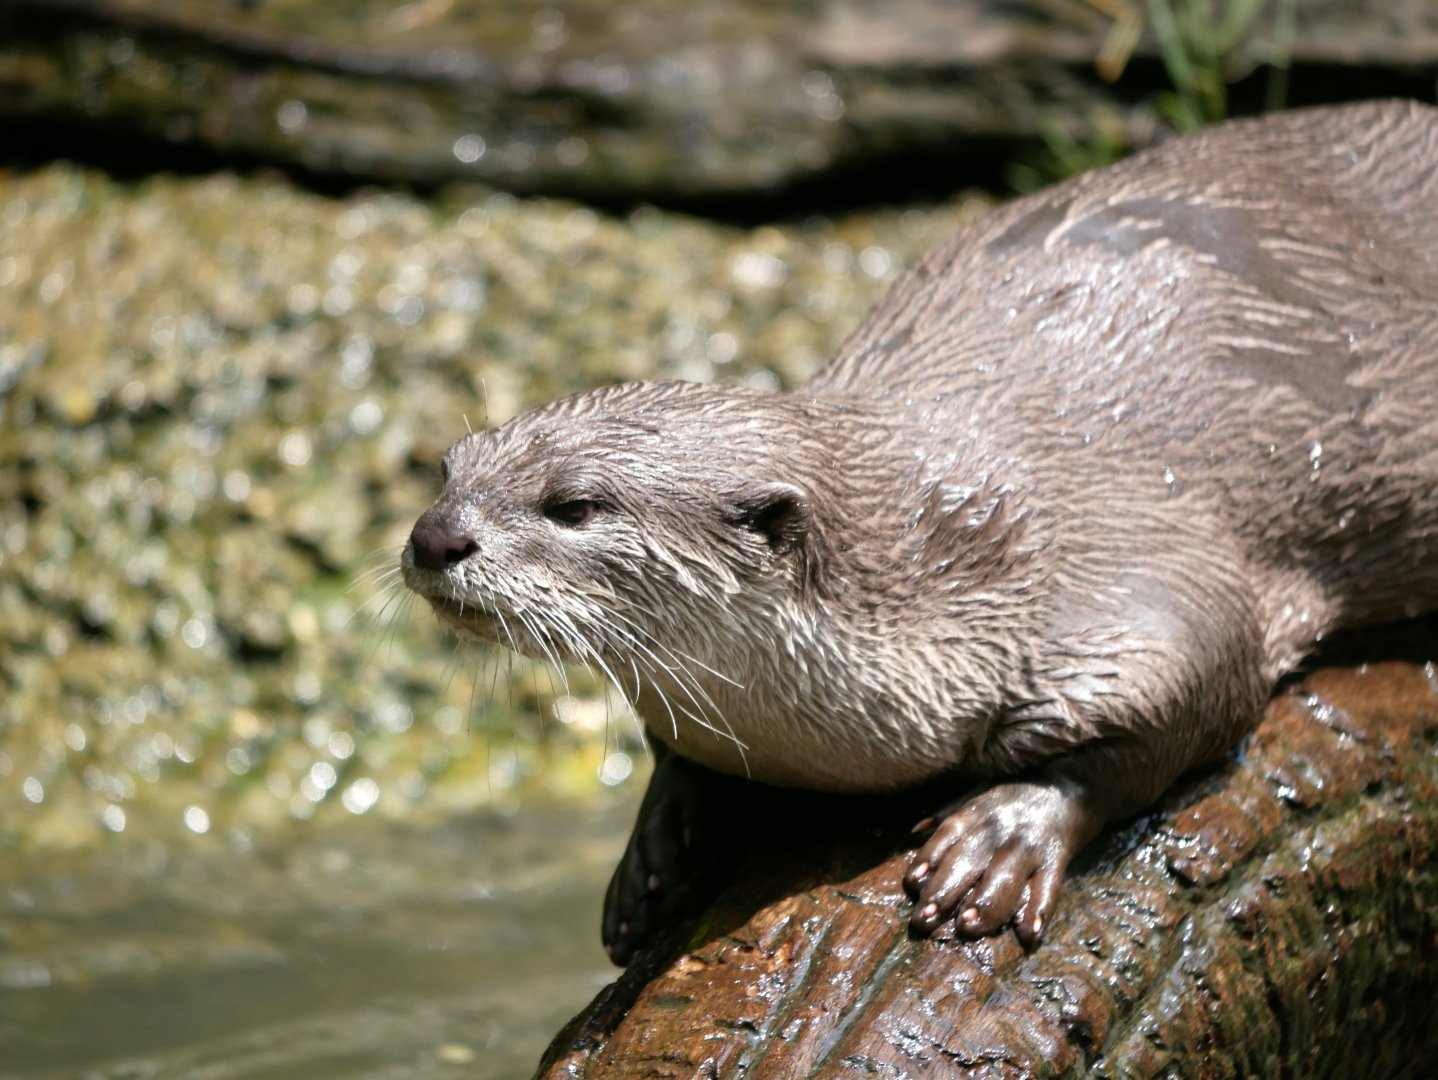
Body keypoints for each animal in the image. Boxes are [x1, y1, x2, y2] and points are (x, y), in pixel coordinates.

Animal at [402, 100, 1438, 963]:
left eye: (575, 505)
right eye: (449, 468)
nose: (434, 538)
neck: (942, 568)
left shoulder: (1139, 573)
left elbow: (1189, 700)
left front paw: (1002, 840)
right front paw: (659, 849)